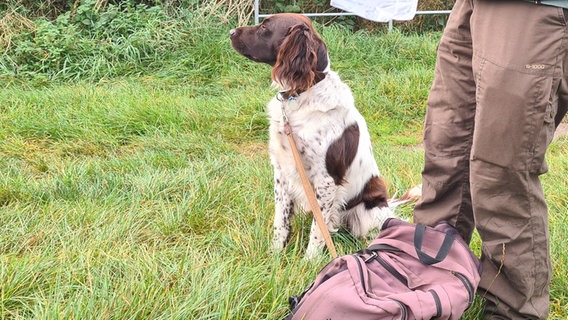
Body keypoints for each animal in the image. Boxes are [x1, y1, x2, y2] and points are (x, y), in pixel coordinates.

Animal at [230, 13, 394, 258]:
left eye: (265, 27)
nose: (231, 32)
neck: (301, 93)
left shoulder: (326, 180)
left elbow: (318, 228)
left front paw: (310, 260)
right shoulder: (282, 171)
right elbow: (281, 220)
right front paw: (275, 255)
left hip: (369, 211)